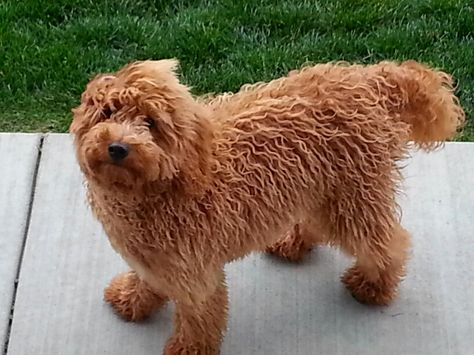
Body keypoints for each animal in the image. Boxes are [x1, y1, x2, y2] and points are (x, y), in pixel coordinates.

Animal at [69, 59, 462, 354]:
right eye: (108, 112)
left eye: (151, 123)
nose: (118, 147)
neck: (164, 184)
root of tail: (371, 80)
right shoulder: (156, 257)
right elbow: (148, 281)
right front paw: (132, 300)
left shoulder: (195, 269)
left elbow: (199, 316)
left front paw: (187, 349)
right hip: (320, 190)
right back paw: (293, 244)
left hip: (352, 197)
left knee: (387, 243)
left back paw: (373, 286)